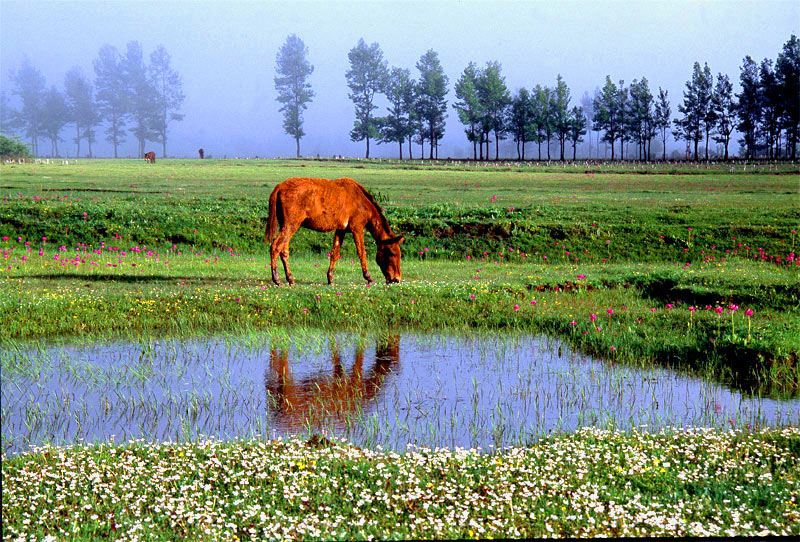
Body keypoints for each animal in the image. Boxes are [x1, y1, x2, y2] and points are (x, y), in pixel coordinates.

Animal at [268, 180, 404, 288]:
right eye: (392, 253)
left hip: (286, 225)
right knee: (275, 246)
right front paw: (369, 278)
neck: (361, 201)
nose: (397, 279)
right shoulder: (357, 228)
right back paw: (277, 280)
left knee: (284, 250)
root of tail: (279, 187)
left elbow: (335, 253)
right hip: (291, 225)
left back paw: (290, 279)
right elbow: (362, 253)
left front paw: (330, 279)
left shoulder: (341, 230)